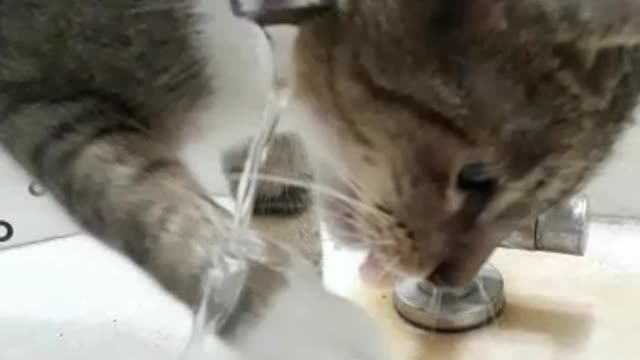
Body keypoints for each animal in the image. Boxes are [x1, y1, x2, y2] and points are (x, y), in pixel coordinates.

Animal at [1, 0, 640, 358]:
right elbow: (153, 203)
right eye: (477, 177)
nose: (447, 278)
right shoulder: (40, 91)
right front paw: (310, 324)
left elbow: (278, 217)